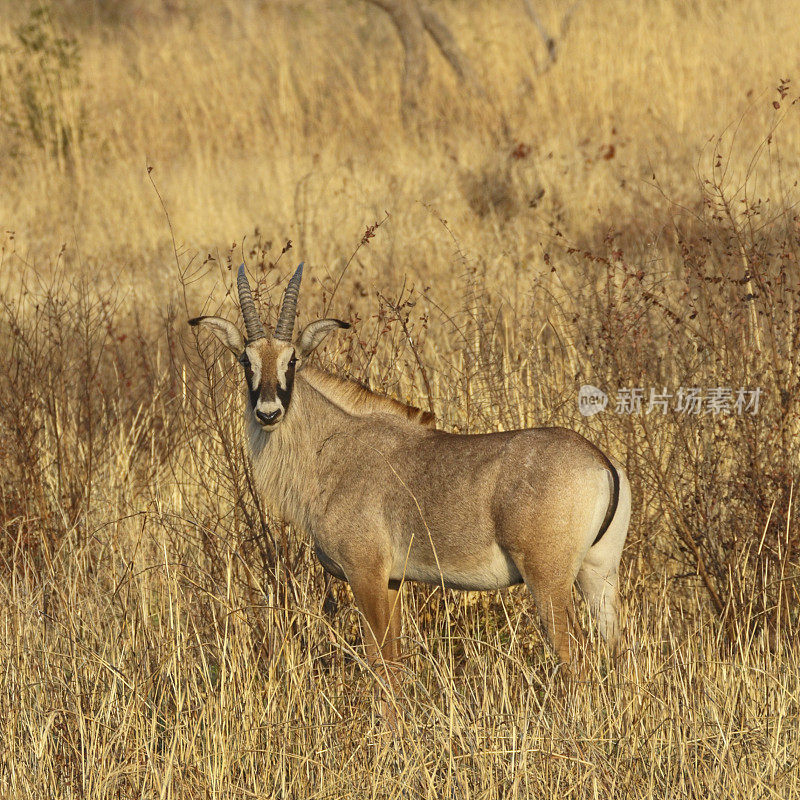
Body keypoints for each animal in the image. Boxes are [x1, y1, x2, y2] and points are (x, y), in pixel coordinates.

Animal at [189, 268, 632, 688]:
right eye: (246, 360)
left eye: (292, 360)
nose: (268, 412)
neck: (331, 446)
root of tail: (600, 462)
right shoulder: (393, 581)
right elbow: (396, 663)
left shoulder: (366, 574)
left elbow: (382, 666)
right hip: (598, 574)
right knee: (615, 647)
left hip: (548, 579)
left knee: (576, 655)